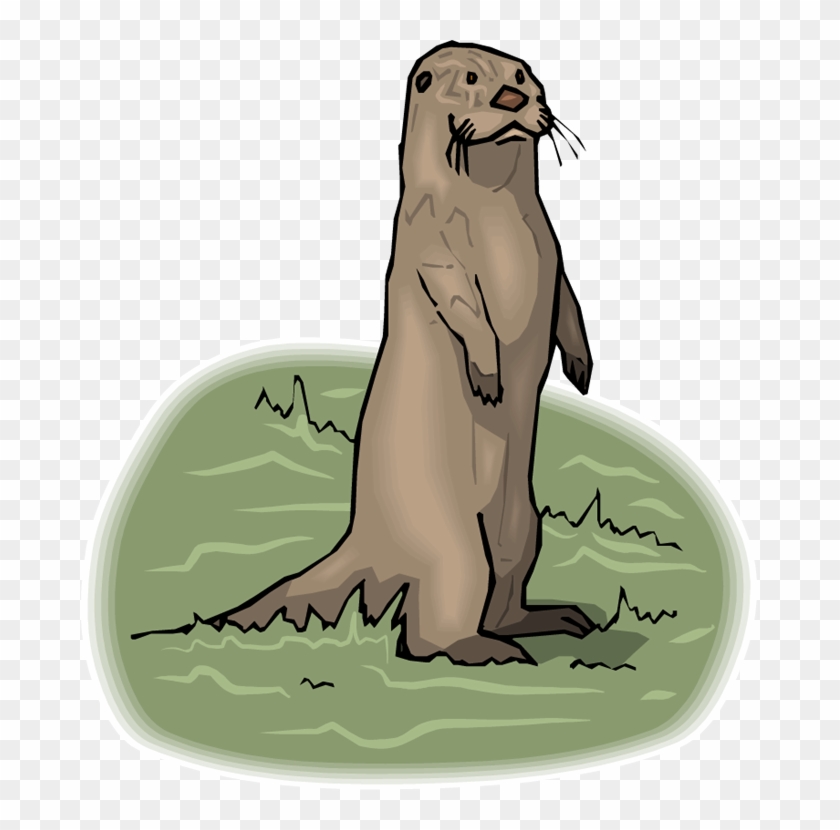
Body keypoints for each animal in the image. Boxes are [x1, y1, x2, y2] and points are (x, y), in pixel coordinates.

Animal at [209, 42, 595, 665]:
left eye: (521, 75)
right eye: (471, 78)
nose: (512, 98)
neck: (491, 213)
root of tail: (362, 539)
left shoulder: (553, 248)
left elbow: (568, 300)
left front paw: (582, 366)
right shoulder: (429, 246)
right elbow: (460, 302)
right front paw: (488, 374)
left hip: (525, 525)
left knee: (504, 589)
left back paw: (549, 619)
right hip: (451, 542)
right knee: (425, 632)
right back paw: (487, 650)